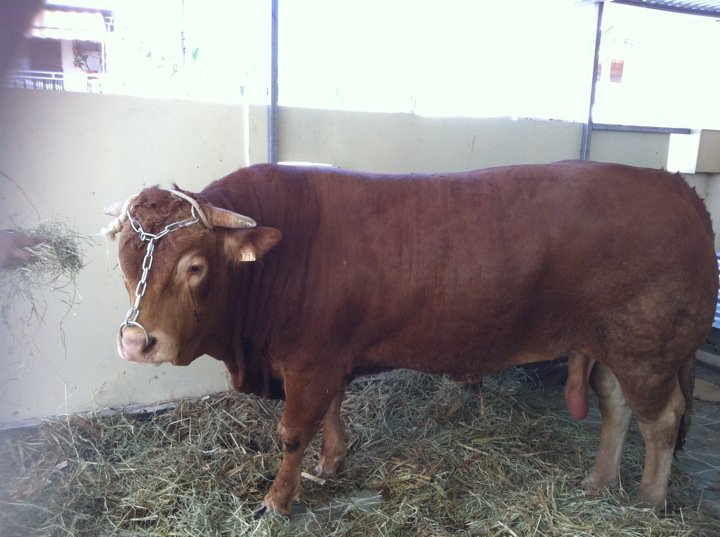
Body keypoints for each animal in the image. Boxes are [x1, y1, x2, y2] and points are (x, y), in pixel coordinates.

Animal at [104, 161, 716, 512]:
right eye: (126, 262)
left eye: (195, 266)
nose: (137, 343)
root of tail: (677, 188)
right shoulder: (328, 355)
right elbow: (332, 410)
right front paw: (332, 462)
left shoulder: (309, 361)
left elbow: (293, 432)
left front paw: (278, 498)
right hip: (618, 346)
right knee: (616, 406)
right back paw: (599, 481)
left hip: (648, 347)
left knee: (661, 419)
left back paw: (648, 498)